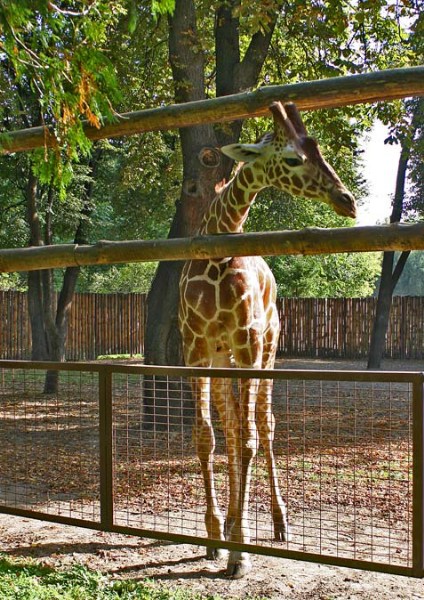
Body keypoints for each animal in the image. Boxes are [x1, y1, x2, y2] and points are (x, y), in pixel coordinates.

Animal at [178, 101, 356, 578]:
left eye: (316, 147)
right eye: (292, 157)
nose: (347, 200)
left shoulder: (249, 344)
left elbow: (251, 439)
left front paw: (239, 552)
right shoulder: (195, 348)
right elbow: (208, 437)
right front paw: (214, 535)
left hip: (269, 349)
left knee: (264, 425)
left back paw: (278, 523)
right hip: (226, 359)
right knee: (233, 426)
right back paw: (231, 522)